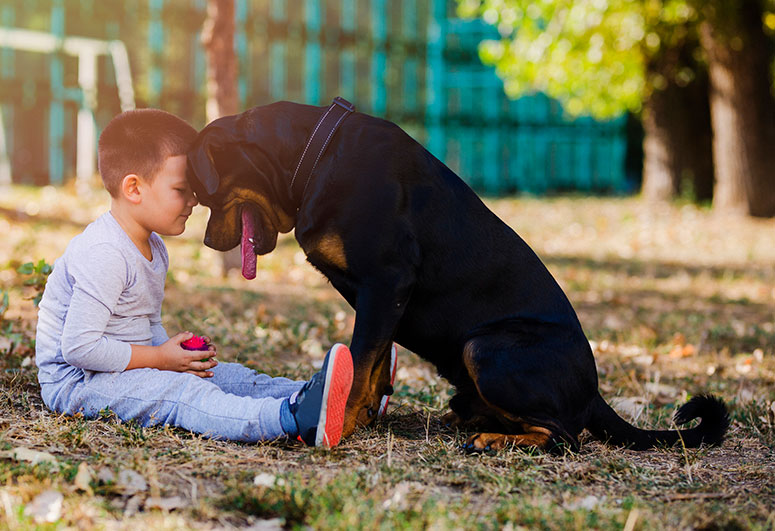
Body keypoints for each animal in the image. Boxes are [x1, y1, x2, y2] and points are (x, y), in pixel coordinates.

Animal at [185, 100, 732, 454]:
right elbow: (375, 362)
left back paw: (493, 439)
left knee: (565, 437)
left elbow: (361, 361)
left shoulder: (386, 282)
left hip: (485, 347)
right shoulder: (381, 298)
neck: (312, 158)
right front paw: (363, 415)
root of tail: (595, 390)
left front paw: (340, 421)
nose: (207, 242)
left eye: (203, 193)